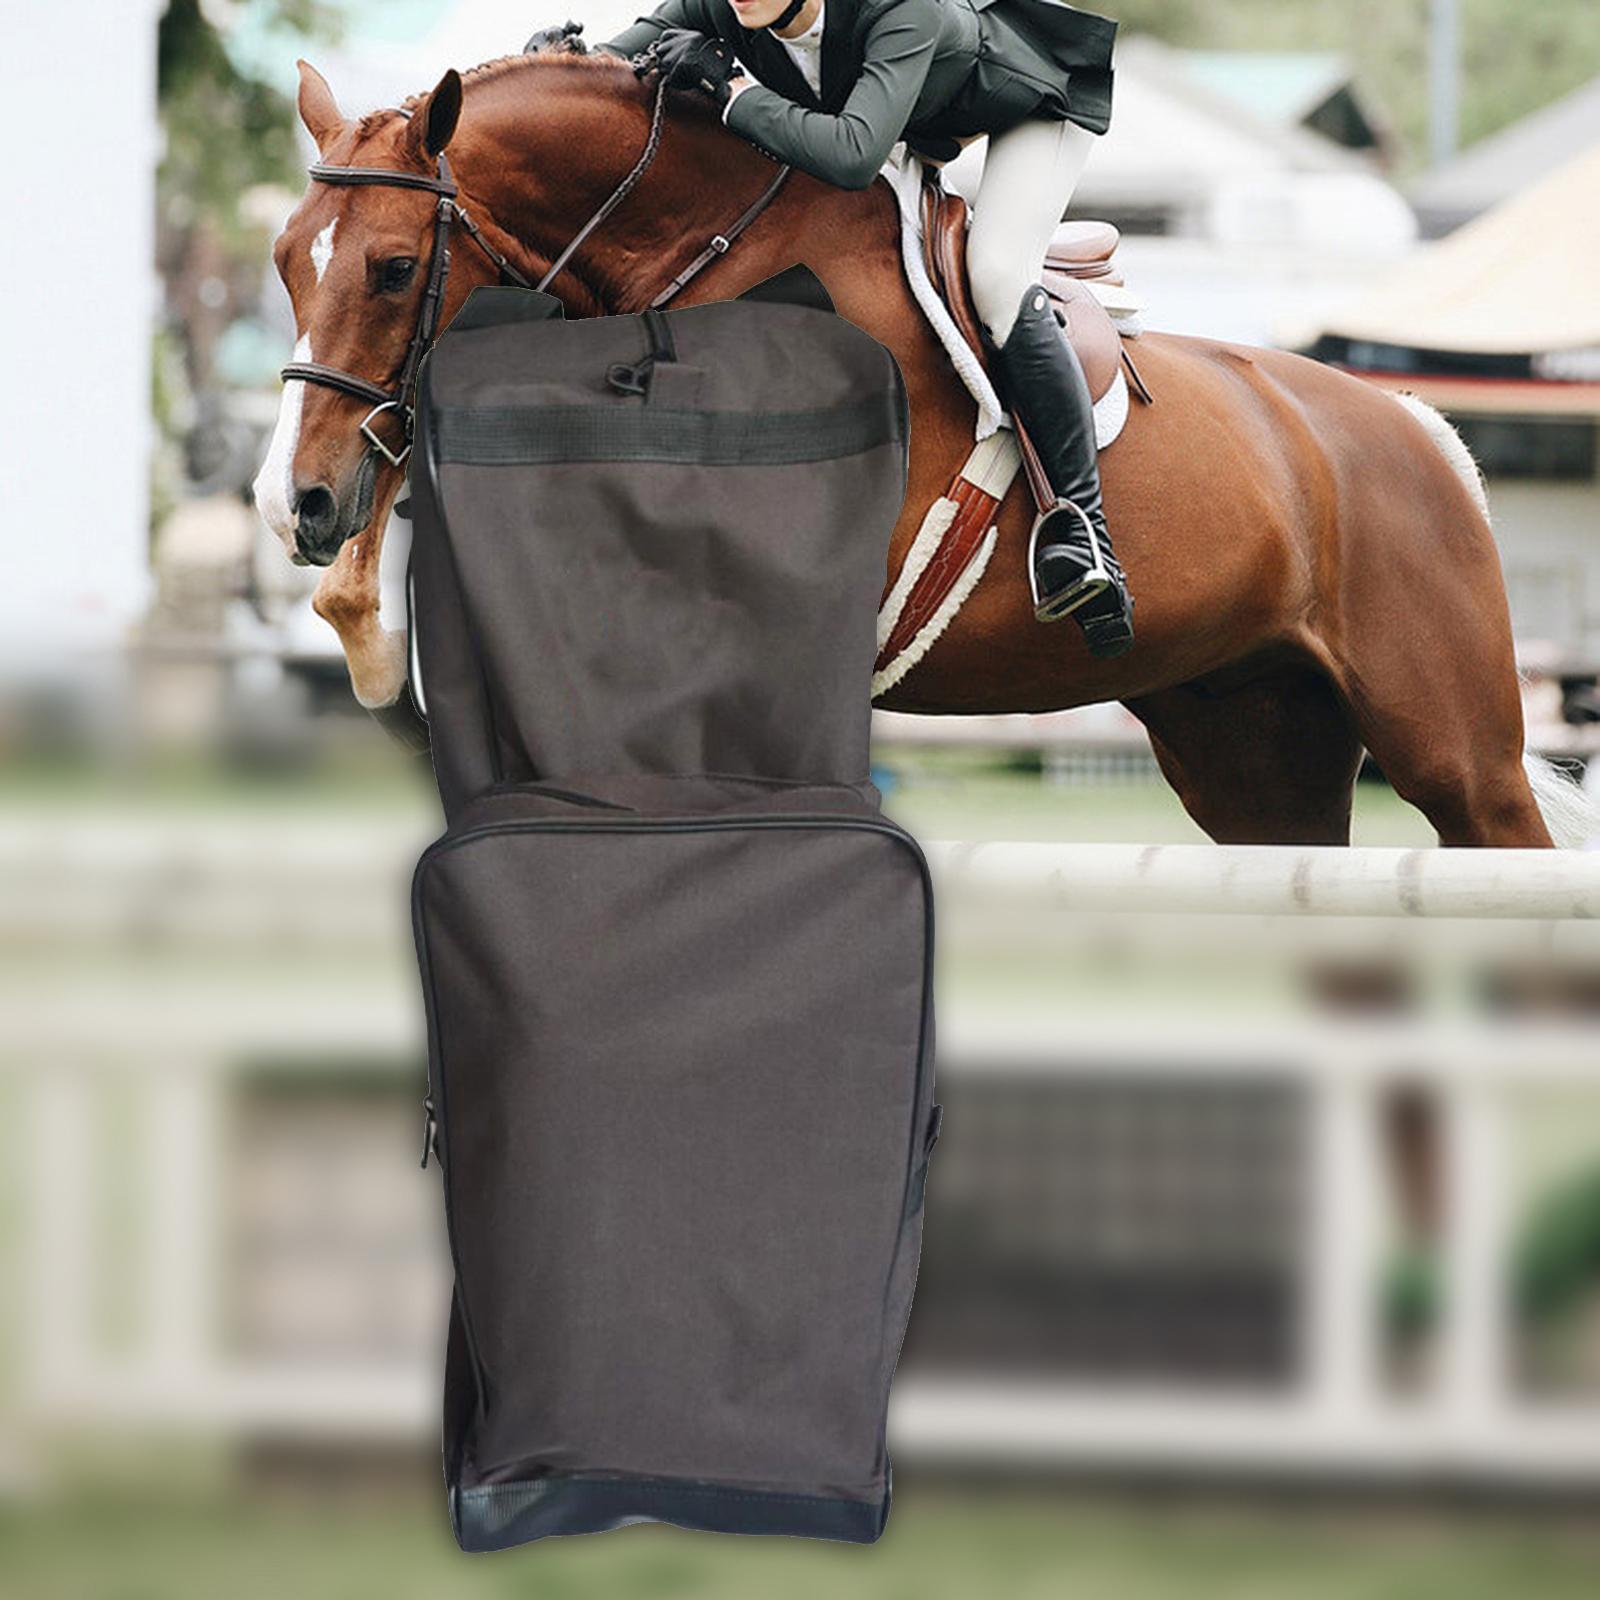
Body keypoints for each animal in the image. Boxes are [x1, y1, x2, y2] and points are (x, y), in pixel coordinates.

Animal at [254, 52, 1585, 849]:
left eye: (393, 267)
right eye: (282, 261)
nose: (296, 501)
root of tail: (1419, 430)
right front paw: (368, 635)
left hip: (1456, 753)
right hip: (1253, 746)